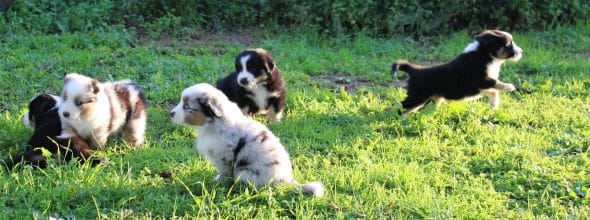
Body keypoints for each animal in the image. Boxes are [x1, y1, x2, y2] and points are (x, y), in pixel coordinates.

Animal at [169, 83, 326, 197]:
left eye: (187, 107)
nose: (171, 113)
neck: (213, 122)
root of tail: (286, 180)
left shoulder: (224, 156)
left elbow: (224, 173)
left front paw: (220, 184)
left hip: (244, 173)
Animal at [394, 29, 524, 115]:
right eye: (508, 45)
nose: (521, 51)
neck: (485, 54)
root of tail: (415, 69)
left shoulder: (481, 87)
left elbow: (493, 92)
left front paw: (494, 106)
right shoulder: (480, 80)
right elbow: (495, 82)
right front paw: (510, 87)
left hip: (429, 99)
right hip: (417, 96)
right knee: (403, 106)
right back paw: (397, 119)